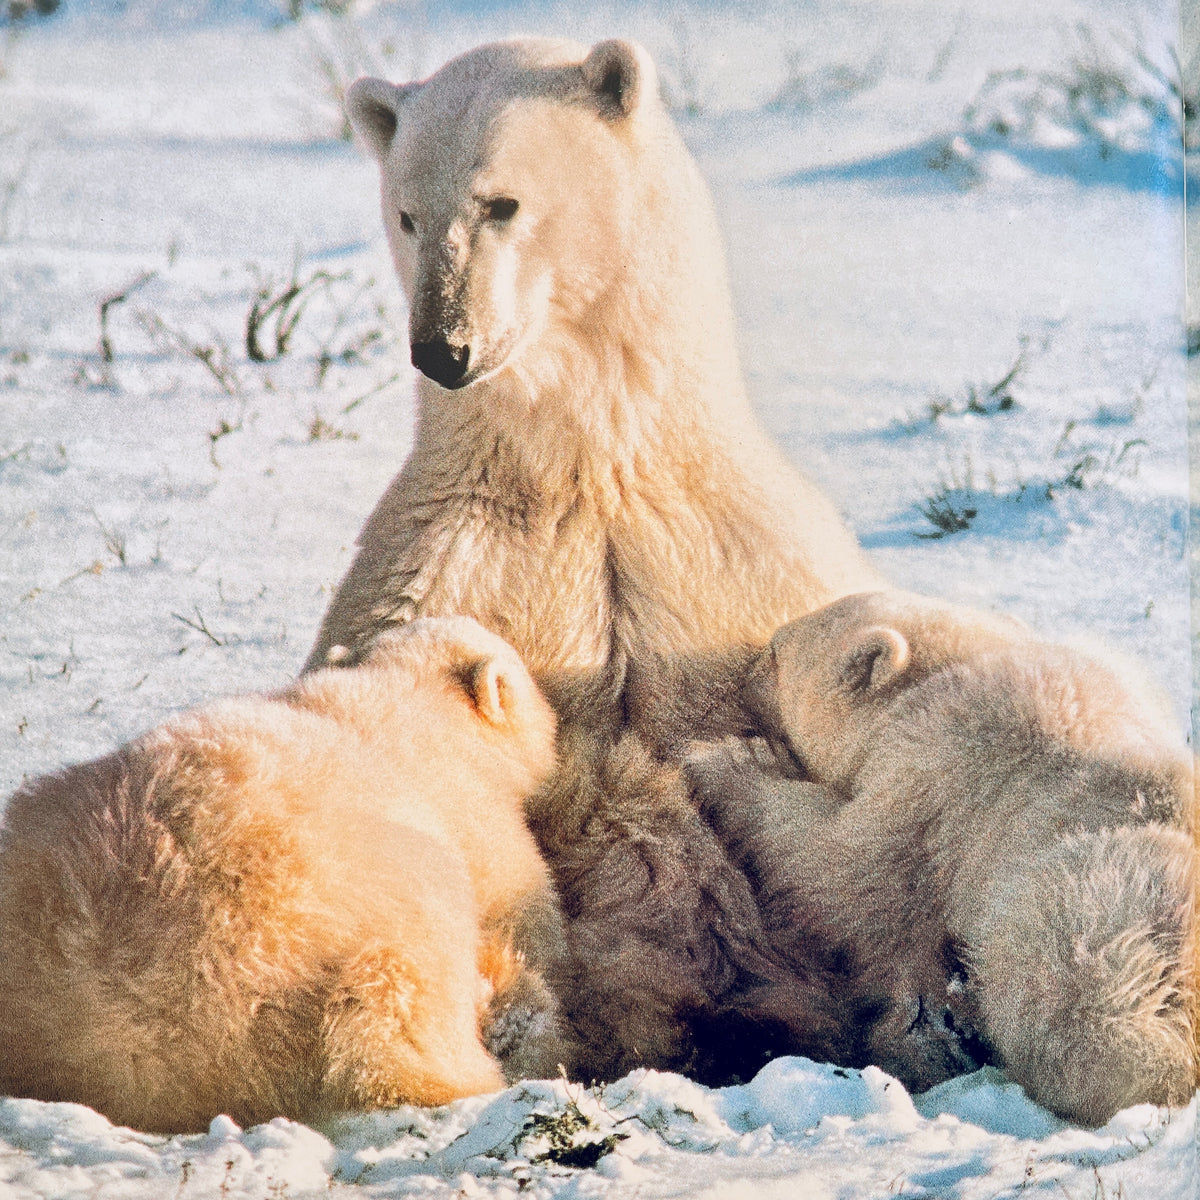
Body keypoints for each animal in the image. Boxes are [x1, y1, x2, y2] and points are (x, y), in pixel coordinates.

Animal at [306, 37, 883, 1081]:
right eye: (407, 212)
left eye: (501, 202)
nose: (443, 348)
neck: (591, 465)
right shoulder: (446, 555)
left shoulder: (742, 561)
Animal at [685, 589, 1196, 1125]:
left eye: (776, 651)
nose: (741, 672)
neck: (954, 667)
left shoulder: (935, 774)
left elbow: (846, 869)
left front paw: (723, 761)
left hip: (1091, 900)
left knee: (1074, 1006)